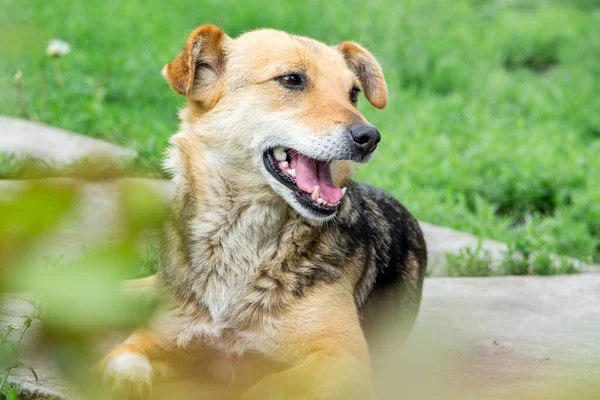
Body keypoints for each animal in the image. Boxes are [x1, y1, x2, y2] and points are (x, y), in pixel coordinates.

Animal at [99, 25, 426, 400]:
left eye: (354, 93)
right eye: (291, 79)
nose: (370, 136)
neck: (241, 237)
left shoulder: (344, 360)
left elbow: (268, 386)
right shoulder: (154, 337)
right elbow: (124, 356)